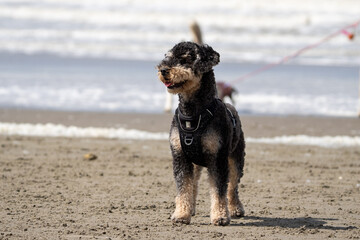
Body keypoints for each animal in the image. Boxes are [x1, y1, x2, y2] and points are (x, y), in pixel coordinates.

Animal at [156, 41, 246, 225]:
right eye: (167, 57)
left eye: (185, 59)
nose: (164, 70)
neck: (193, 113)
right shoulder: (180, 156)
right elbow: (184, 187)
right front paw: (181, 214)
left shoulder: (217, 157)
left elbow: (219, 190)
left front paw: (220, 216)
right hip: (195, 163)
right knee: (194, 185)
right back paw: (191, 208)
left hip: (236, 158)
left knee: (232, 186)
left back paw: (235, 209)